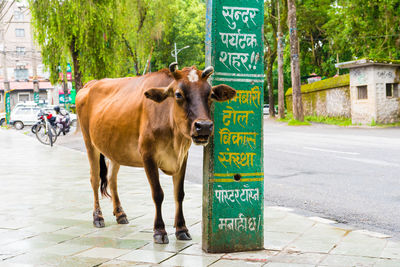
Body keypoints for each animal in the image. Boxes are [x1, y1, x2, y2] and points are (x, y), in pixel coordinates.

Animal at [76, 63, 234, 245]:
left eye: (210, 94)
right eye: (178, 94)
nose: (204, 126)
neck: (175, 138)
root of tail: (90, 84)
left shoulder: (182, 157)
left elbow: (179, 194)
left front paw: (182, 229)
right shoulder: (148, 155)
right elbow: (158, 194)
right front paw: (159, 231)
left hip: (114, 149)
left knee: (111, 179)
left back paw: (120, 213)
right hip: (89, 142)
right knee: (94, 179)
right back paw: (97, 217)